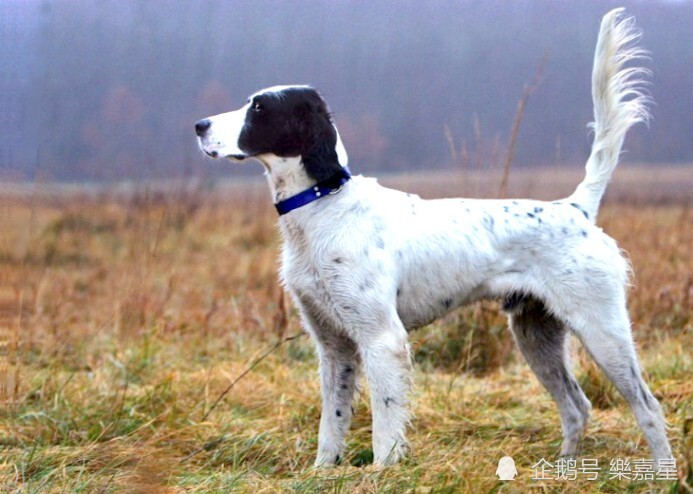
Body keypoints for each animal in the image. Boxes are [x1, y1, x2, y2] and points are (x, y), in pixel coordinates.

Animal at [195, 9, 672, 468]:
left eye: (259, 109)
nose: (199, 124)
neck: (323, 207)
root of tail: (575, 207)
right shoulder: (333, 347)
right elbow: (331, 427)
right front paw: (322, 473)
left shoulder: (382, 339)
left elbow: (385, 425)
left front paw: (383, 472)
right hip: (536, 333)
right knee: (577, 407)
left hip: (602, 329)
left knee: (648, 407)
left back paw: (663, 473)